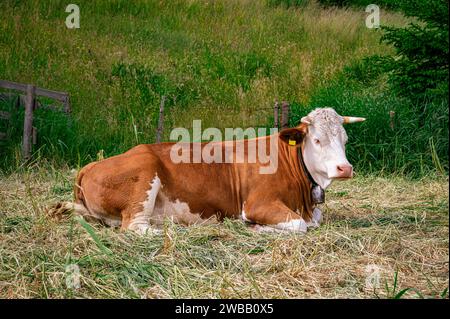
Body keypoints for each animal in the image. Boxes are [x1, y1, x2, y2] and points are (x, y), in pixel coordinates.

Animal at [50, 107, 366, 235]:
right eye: (317, 140)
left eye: (345, 139)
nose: (345, 168)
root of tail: (92, 164)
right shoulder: (258, 204)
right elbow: (300, 225)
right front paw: (256, 228)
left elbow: (313, 222)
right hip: (144, 176)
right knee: (134, 226)